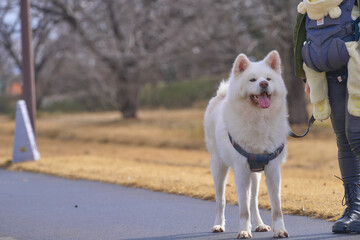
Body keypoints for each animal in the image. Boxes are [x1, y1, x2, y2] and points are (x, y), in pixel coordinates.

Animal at [202, 50, 290, 238]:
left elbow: (276, 207)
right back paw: (218, 225)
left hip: (255, 175)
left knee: (254, 201)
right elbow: (243, 209)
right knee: (221, 200)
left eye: (268, 79)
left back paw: (259, 224)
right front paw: (243, 230)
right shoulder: (241, 171)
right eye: (252, 80)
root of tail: (220, 96)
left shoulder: (273, 170)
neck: (259, 120)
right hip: (219, 168)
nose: (264, 84)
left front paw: (279, 230)